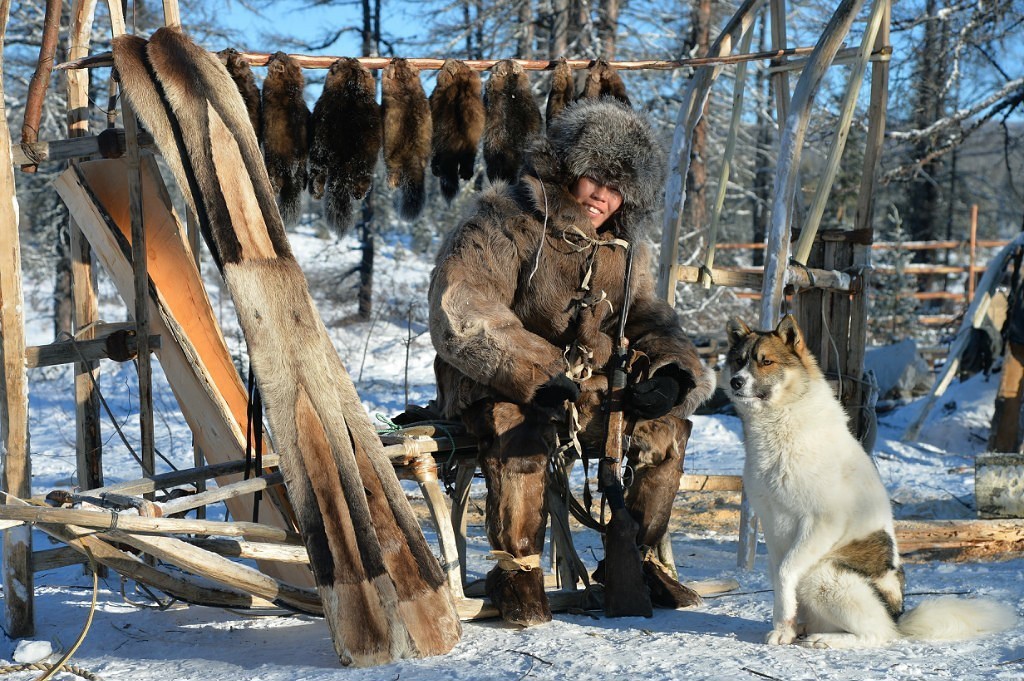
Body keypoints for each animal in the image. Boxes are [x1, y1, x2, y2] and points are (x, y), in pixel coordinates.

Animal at [720, 315, 1015, 647]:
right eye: (738, 361)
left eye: (766, 361)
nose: (736, 381)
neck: (781, 425)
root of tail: (898, 617)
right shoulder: (772, 528)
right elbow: (778, 581)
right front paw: (785, 627)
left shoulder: (821, 523)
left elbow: (785, 573)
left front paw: (785, 627)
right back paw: (806, 629)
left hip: (822, 573)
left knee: (879, 634)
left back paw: (826, 639)